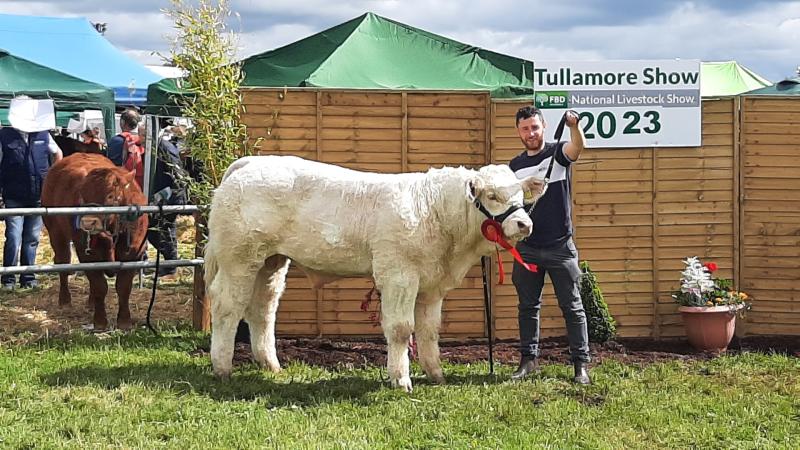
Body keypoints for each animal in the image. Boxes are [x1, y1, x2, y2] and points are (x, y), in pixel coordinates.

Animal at [41, 153, 149, 330]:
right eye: (82, 196)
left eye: (110, 196)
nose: (87, 222)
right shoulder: (86, 253)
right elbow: (100, 286)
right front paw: (100, 321)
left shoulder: (134, 253)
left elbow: (124, 286)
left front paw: (124, 320)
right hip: (56, 232)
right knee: (62, 262)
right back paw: (65, 300)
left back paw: (91, 302)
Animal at [205, 155, 546, 392]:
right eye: (492, 196)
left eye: (520, 196)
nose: (524, 224)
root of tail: (251, 162)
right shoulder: (398, 275)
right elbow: (401, 329)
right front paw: (401, 380)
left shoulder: (432, 285)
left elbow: (429, 331)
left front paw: (436, 375)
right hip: (239, 259)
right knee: (227, 306)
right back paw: (222, 368)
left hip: (271, 262)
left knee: (263, 309)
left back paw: (271, 366)